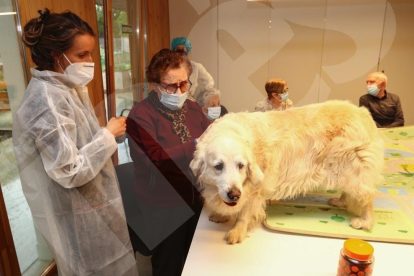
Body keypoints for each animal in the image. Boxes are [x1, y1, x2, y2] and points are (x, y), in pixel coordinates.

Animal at [189, 100, 384, 243]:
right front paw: (221, 215)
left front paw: (237, 231)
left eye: (241, 165)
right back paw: (340, 201)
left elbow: (244, 213)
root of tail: (363, 112)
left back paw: (365, 222)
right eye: (218, 166)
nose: (234, 194)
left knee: (367, 198)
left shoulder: (256, 189)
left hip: (353, 167)